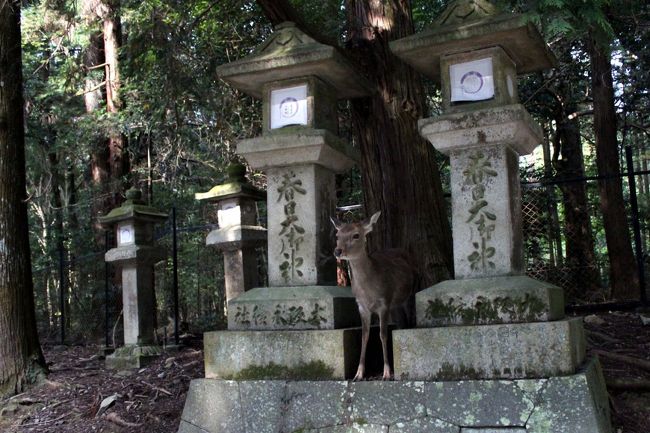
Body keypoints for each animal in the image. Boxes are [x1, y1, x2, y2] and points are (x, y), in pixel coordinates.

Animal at [331, 211, 416, 381]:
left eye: (356, 235)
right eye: (337, 235)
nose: (338, 251)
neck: (368, 291)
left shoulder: (384, 302)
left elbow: (383, 335)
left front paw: (387, 373)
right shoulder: (362, 306)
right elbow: (365, 336)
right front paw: (358, 373)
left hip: (410, 292)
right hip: (395, 304)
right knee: (400, 320)